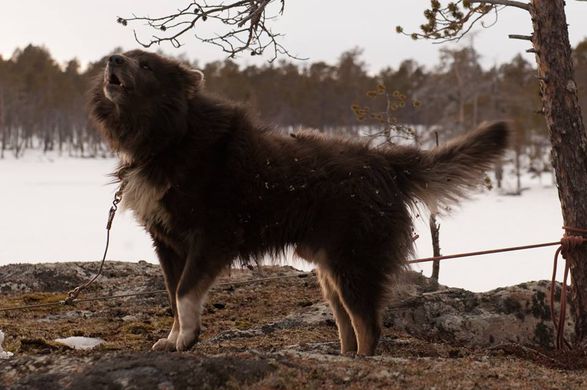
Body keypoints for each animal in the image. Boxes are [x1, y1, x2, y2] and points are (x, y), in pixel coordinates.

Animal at [88, 50, 510, 354]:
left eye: (146, 64)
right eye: (128, 55)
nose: (112, 58)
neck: (169, 137)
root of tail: (385, 163)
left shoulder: (211, 238)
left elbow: (184, 292)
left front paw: (188, 337)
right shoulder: (168, 245)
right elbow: (173, 296)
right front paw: (176, 337)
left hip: (355, 263)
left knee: (369, 328)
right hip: (332, 272)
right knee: (350, 329)